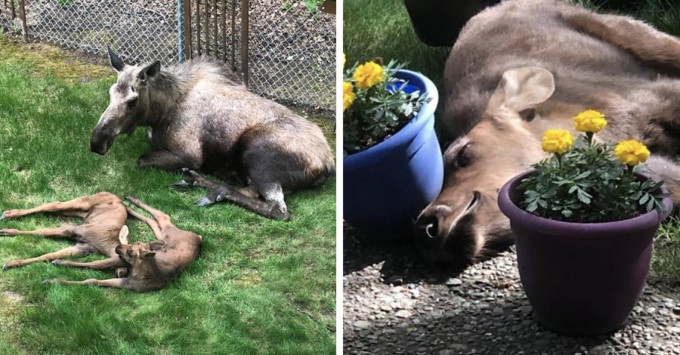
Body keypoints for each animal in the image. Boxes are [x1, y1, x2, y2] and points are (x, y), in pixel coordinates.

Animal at [0, 193, 129, 280]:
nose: (122, 273)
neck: (105, 243)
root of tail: (117, 197)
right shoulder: (74, 230)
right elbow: (42, 231)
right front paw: (6, 231)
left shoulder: (82, 248)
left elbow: (49, 255)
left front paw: (11, 263)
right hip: (84, 203)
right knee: (53, 205)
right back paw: (8, 214)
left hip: (80, 212)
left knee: (53, 209)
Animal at [49, 196, 202, 294]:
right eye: (131, 244)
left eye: (130, 252)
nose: (118, 248)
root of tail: (199, 238)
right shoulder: (121, 262)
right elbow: (95, 264)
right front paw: (59, 265)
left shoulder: (127, 284)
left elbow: (92, 279)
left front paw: (56, 278)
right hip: (165, 234)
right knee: (158, 217)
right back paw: (130, 202)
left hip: (166, 233)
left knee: (159, 218)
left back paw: (129, 204)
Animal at [90, 48, 334, 221]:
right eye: (110, 92)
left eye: (133, 100)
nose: (96, 141)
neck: (160, 112)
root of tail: (327, 164)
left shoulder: (189, 154)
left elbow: (141, 159)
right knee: (251, 191)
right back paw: (197, 181)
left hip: (257, 153)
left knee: (278, 210)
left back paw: (209, 186)